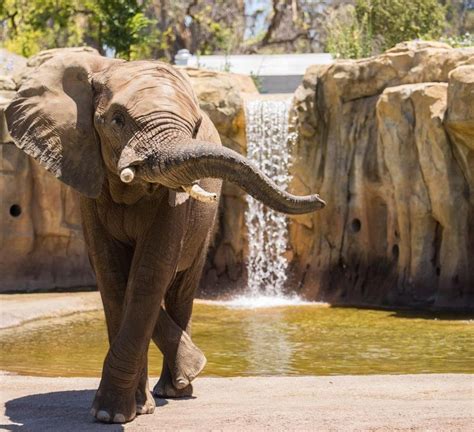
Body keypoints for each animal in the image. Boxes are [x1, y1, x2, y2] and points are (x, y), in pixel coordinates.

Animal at [5, 52, 326, 424]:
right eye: (117, 120)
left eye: (195, 125)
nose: (321, 200)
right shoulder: (87, 176)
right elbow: (113, 275)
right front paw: (118, 413)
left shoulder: (174, 202)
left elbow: (147, 274)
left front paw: (115, 412)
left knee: (180, 289)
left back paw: (177, 389)